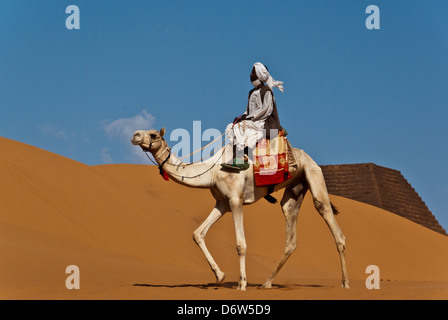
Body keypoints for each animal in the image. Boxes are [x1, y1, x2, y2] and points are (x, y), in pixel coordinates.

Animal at [131, 127, 348, 290]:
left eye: (153, 134)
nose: (135, 135)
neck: (211, 172)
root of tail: (308, 157)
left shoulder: (236, 199)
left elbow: (240, 244)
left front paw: (242, 284)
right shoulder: (222, 203)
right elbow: (198, 233)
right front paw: (219, 276)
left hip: (313, 174)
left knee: (328, 216)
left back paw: (345, 283)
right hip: (295, 188)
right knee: (290, 230)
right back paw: (266, 283)